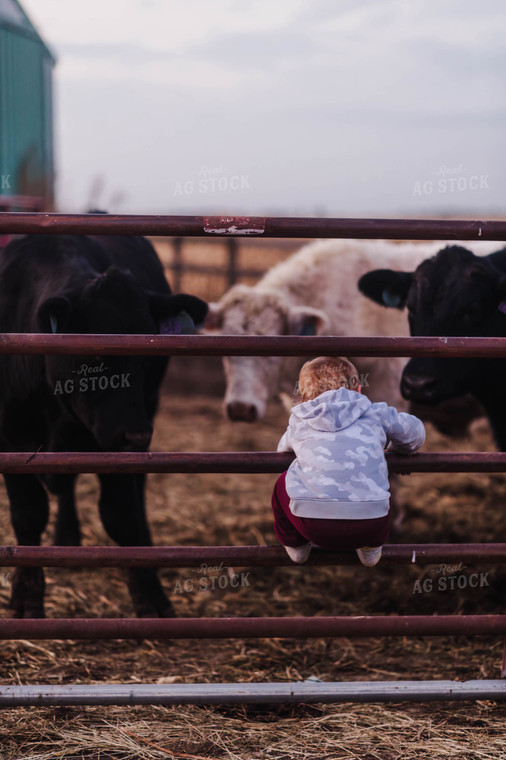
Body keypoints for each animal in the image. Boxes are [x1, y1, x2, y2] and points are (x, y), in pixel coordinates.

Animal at [0, 235, 208, 620]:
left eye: (148, 355)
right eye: (94, 356)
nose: (137, 434)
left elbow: (121, 514)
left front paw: (150, 597)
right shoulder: (10, 436)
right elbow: (29, 515)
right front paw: (26, 600)